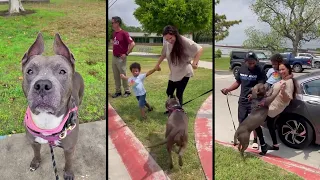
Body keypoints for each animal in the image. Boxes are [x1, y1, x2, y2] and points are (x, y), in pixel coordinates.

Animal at [22, 33, 85, 179]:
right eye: (29, 71)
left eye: (62, 71)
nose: (42, 85)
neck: (46, 119)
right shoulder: (33, 142)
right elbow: (36, 152)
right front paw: (35, 162)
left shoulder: (69, 149)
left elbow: (68, 162)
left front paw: (68, 173)